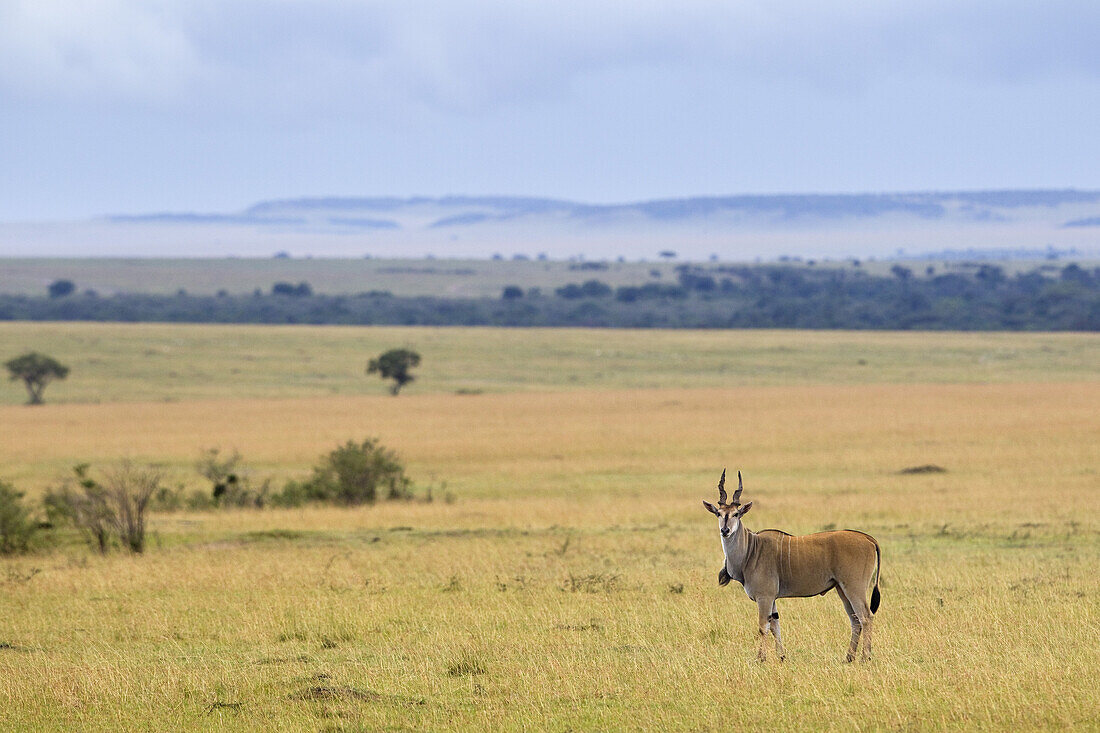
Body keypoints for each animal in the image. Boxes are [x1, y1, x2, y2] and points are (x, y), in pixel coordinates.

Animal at [708, 468, 880, 660]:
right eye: (719, 513)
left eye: (736, 514)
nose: (725, 530)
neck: (751, 550)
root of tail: (868, 538)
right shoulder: (772, 599)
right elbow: (775, 626)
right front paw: (781, 657)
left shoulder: (764, 597)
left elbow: (763, 627)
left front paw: (761, 658)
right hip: (842, 589)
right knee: (855, 620)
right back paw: (849, 658)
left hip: (854, 587)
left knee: (866, 617)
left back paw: (865, 657)